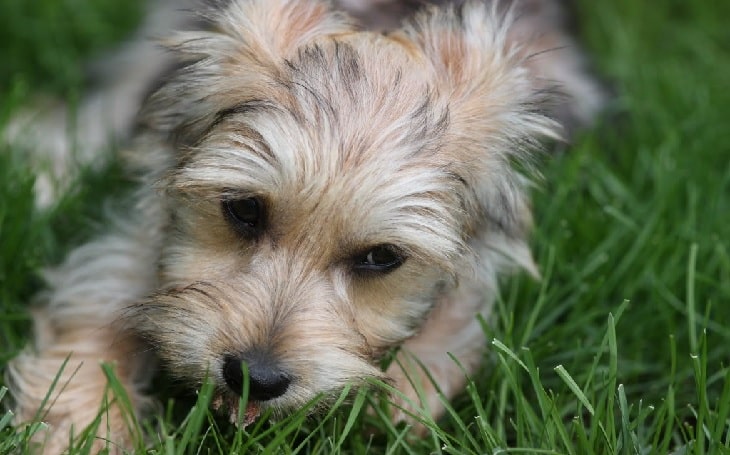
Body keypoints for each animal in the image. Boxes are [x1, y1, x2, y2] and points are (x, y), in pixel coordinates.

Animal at [5, 0, 600, 452]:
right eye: (244, 209)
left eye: (381, 258)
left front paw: (408, 393)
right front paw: (87, 431)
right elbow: (92, 325)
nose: (255, 378)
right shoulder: (134, 240)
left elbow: (454, 318)